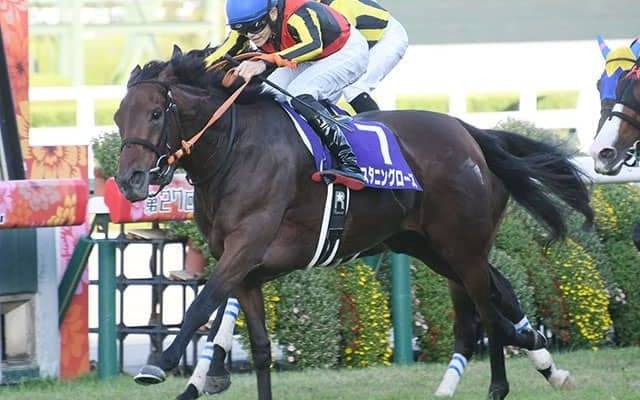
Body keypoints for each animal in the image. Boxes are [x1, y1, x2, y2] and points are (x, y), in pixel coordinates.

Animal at [115, 46, 593, 400]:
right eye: (119, 117)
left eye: (155, 114)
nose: (128, 180)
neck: (234, 150)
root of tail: (469, 132)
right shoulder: (247, 272)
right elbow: (261, 349)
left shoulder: (246, 249)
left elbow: (202, 303)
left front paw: (160, 364)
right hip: (429, 246)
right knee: (499, 291)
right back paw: (542, 357)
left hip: (461, 246)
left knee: (487, 312)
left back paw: (501, 383)